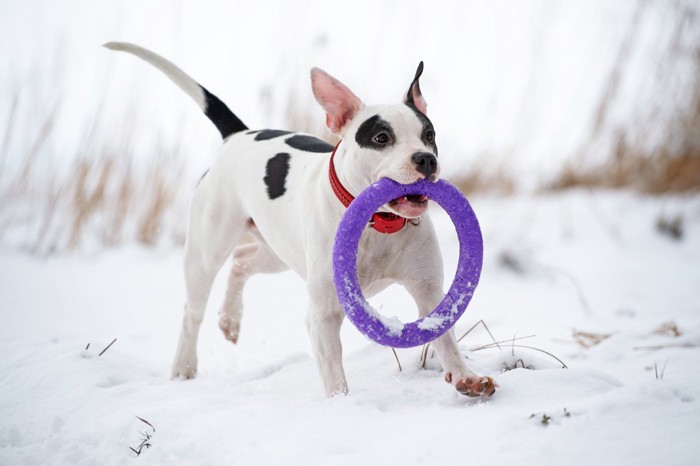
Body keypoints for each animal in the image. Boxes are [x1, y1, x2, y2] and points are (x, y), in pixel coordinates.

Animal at [105, 41, 498, 396]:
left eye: (429, 135)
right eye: (381, 137)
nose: (426, 159)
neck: (378, 224)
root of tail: (238, 135)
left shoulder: (430, 291)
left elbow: (444, 333)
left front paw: (466, 377)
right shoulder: (323, 314)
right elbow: (334, 373)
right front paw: (341, 406)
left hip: (278, 250)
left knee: (242, 260)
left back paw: (230, 319)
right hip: (207, 249)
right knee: (193, 309)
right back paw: (184, 367)